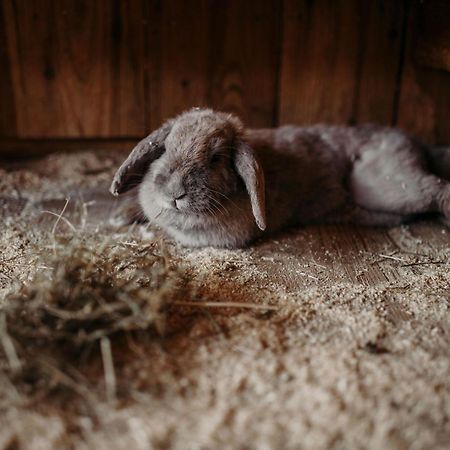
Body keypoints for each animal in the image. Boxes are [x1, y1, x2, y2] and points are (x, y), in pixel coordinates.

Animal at [110, 108, 450, 250]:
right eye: (166, 147)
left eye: (216, 157)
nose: (174, 193)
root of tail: (416, 144)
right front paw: (122, 215)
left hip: (382, 185)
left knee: (438, 189)